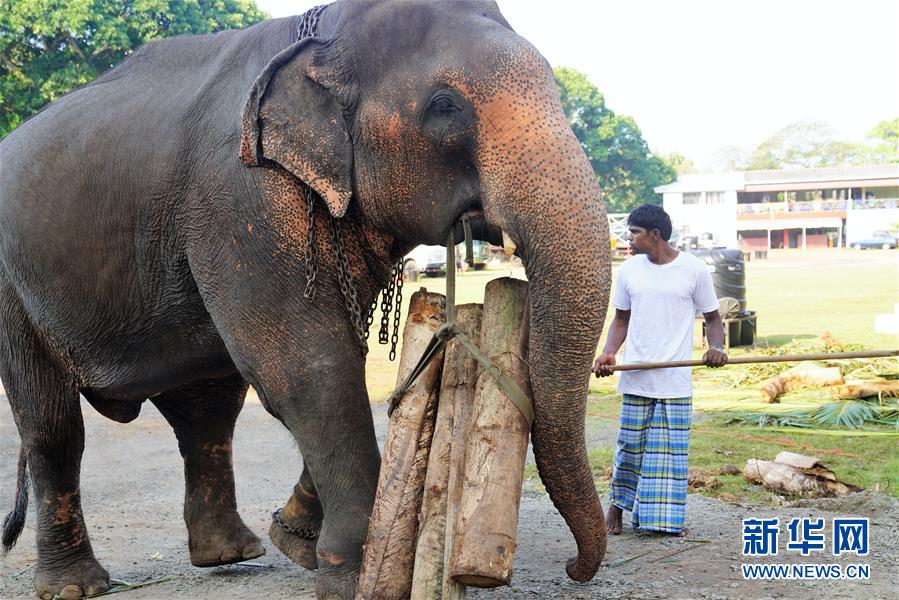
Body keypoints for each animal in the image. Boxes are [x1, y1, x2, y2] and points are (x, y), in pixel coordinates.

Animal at [0, 2, 612, 596]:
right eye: (445, 106)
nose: (573, 567)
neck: (322, 34)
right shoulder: (241, 197)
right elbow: (311, 367)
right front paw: (352, 576)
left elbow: (329, 358)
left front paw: (295, 540)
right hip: (12, 291)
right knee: (53, 426)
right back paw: (75, 586)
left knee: (208, 409)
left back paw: (232, 553)